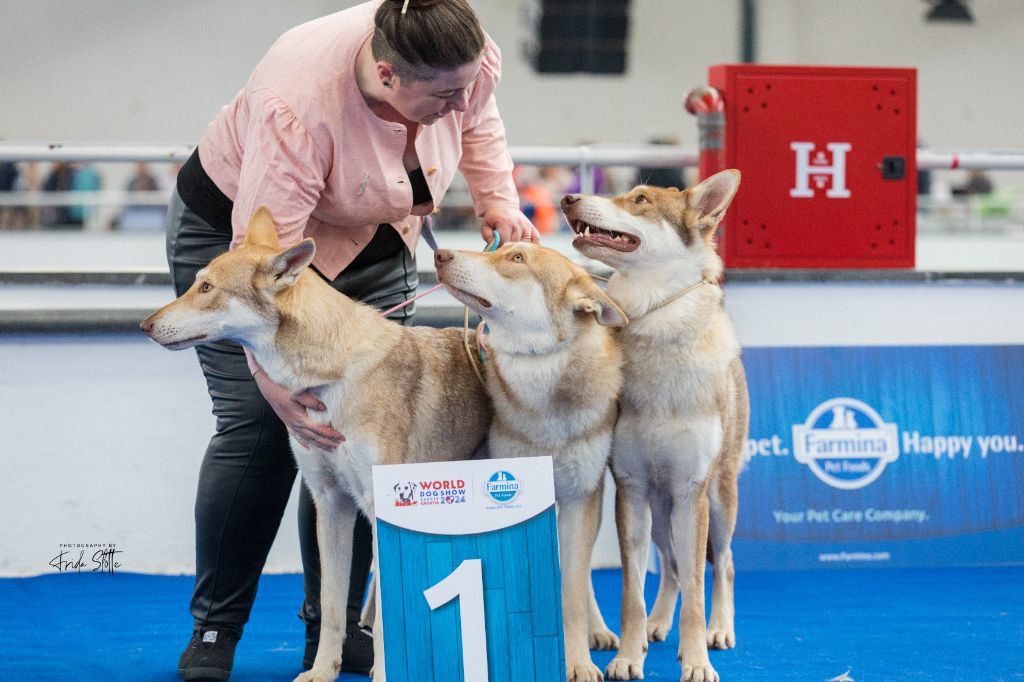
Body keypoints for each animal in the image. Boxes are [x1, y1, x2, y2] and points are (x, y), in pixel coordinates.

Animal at [141, 208, 491, 679]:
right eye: (196, 283)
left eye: (208, 288)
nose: (145, 325)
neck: (332, 377)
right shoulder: (331, 503)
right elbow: (330, 605)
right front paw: (323, 671)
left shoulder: (379, 508)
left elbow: (386, 616)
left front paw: (384, 673)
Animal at [436, 242, 626, 679]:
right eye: (502, 249)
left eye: (517, 259)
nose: (440, 255)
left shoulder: (578, 501)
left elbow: (571, 592)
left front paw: (577, 662)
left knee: (584, 576)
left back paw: (599, 631)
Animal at [565, 165, 749, 679]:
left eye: (640, 200)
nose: (568, 198)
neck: (653, 324)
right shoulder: (632, 490)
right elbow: (632, 594)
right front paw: (629, 657)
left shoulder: (691, 491)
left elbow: (698, 594)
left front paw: (698, 663)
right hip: (662, 512)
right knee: (670, 569)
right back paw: (656, 629)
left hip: (716, 502)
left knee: (722, 566)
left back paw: (718, 632)